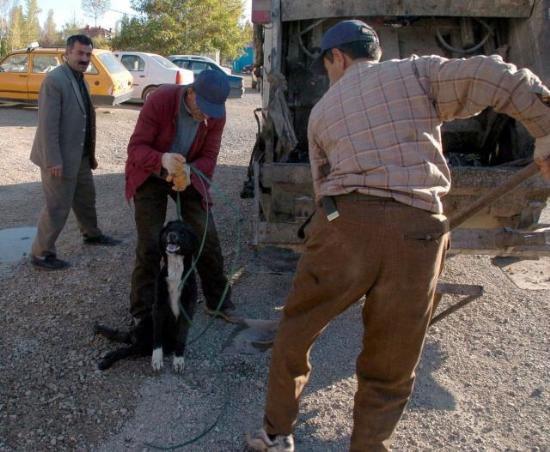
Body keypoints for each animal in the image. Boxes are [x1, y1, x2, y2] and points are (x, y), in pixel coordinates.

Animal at [94, 221, 199, 372]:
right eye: (169, 229)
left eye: (183, 232)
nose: (171, 235)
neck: (175, 270)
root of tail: (135, 335)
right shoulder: (159, 307)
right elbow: (157, 335)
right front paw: (157, 358)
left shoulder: (187, 308)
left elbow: (181, 337)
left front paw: (178, 359)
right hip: (145, 336)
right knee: (124, 348)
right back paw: (106, 360)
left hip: (146, 344)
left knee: (126, 347)